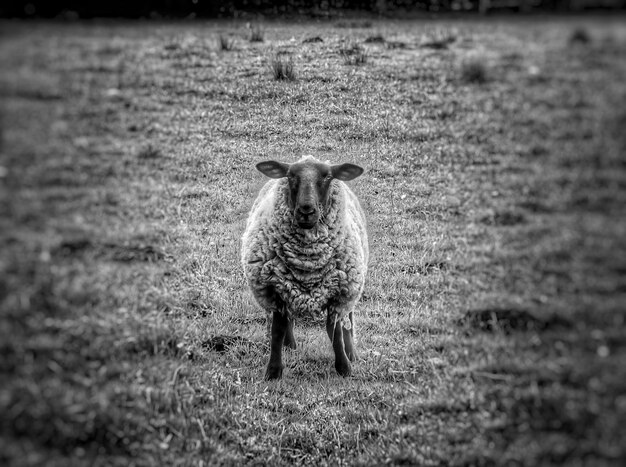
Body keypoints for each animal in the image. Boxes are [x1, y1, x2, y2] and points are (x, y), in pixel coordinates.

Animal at [239, 155, 366, 382]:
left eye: (327, 176)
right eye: (290, 175)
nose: (307, 210)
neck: (307, 264)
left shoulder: (338, 291)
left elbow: (335, 332)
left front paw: (344, 367)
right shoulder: (276, 289)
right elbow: (277, 330)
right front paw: (274, 371)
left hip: (352, 284)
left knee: (348, 317)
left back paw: (352, 352)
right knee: (288, 320)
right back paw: (290, 345)